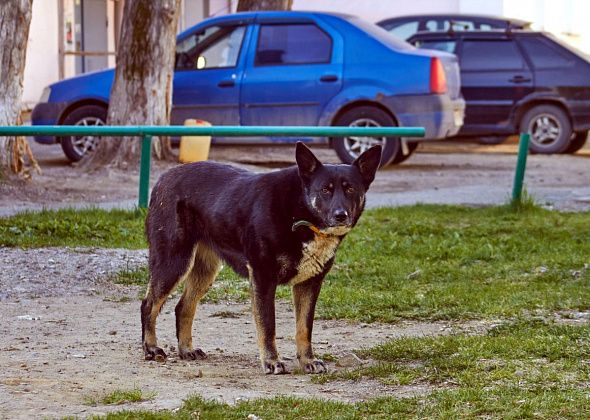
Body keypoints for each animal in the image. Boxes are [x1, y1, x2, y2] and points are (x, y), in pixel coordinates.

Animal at [141, 142, 382, 374]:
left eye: (350, 189)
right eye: (325, 190)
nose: (341, 216)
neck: (299, 210)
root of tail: (164, 178)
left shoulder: (309, 284)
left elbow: (304, 328)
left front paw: (308, 361)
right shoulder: (263, 278)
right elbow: (268, 326)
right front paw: (272, 361)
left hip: (205, 271)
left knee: (183, 307)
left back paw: (186, 350)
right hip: (174, 262)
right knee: (148, 304)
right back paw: (151, 348)